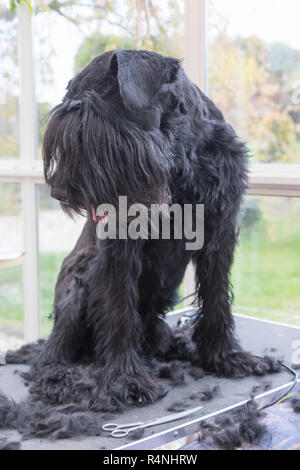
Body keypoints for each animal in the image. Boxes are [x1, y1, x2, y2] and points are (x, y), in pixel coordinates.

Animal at [39, 49, 268, 406]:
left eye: (88, 116)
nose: (59, 192)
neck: (179, 158)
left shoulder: (221, 231)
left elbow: (217, 295)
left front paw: (225, 356)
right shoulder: (120, 244)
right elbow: (119, 309)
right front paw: (125, 379)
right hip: (81, 280)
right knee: (54, 348)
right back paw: (58, 377)